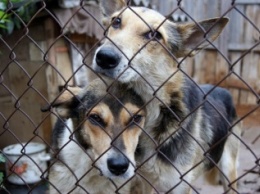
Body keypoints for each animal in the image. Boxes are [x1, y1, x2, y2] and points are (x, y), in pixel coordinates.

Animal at [91, 0, 242, 193]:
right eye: (116, 22)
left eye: (155, 35)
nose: (104, 57)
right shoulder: (140, 182)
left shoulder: (179, 185)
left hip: (228, 170)